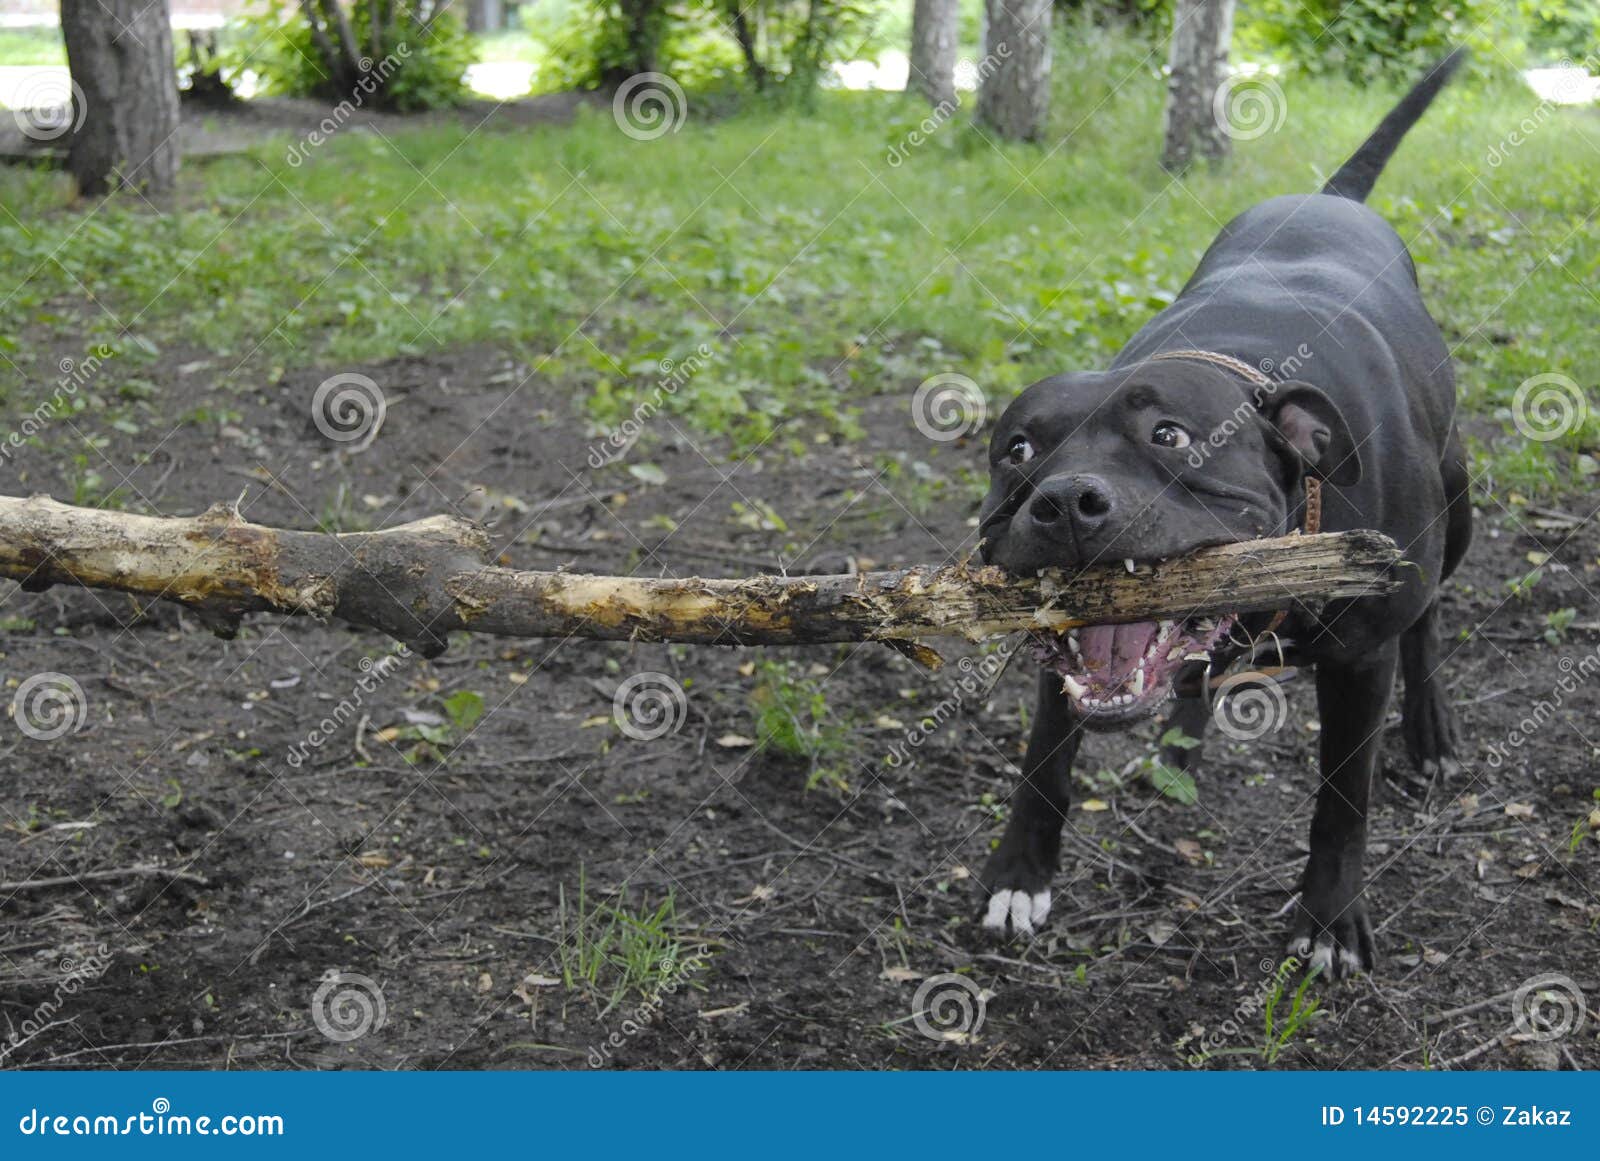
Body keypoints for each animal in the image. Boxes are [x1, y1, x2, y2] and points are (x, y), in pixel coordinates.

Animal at [966, 56, 1465, 985]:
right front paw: (1019, 875)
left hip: (1457, 513)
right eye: (1017, 449)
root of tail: (1330, 196)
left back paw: (1432, 728)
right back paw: (1178, 744)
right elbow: (1045, 757)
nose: (1065, 500)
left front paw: (1329, 919)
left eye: (1170, 436)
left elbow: (1343, 797)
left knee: (1428, 617)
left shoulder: (1362, 661)